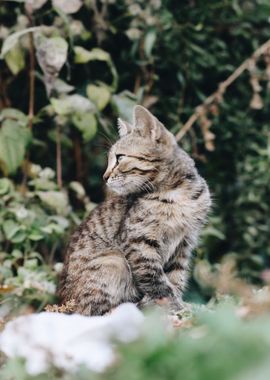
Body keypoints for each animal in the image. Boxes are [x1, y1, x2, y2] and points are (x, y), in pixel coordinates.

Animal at [58, 105, 211, 316]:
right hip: (114, 261)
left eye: (120, 157)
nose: (104, 176)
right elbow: (157, 282)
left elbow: (175, 278)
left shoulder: (184, 244)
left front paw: (179, 304)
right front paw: (173, 305)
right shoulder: (138, 241)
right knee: (95, 312)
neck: (177, 193)